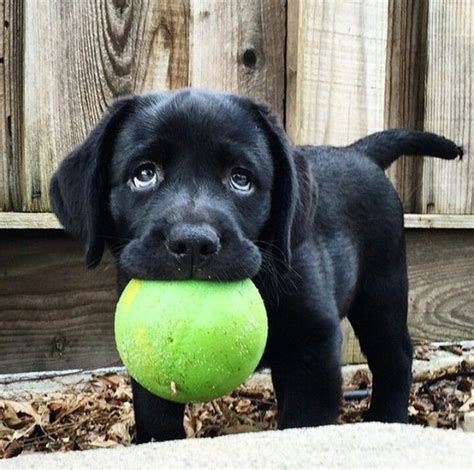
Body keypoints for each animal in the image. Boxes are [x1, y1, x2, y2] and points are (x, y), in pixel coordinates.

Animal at [49, 89, 462, 444]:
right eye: (144, 174)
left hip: (382, 291)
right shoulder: (146, 366)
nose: (194, 243)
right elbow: (156, 417)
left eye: (240, 179)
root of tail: (359, 152)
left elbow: (305, 421)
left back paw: (387, 419)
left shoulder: (313, 344)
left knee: (395, 357)